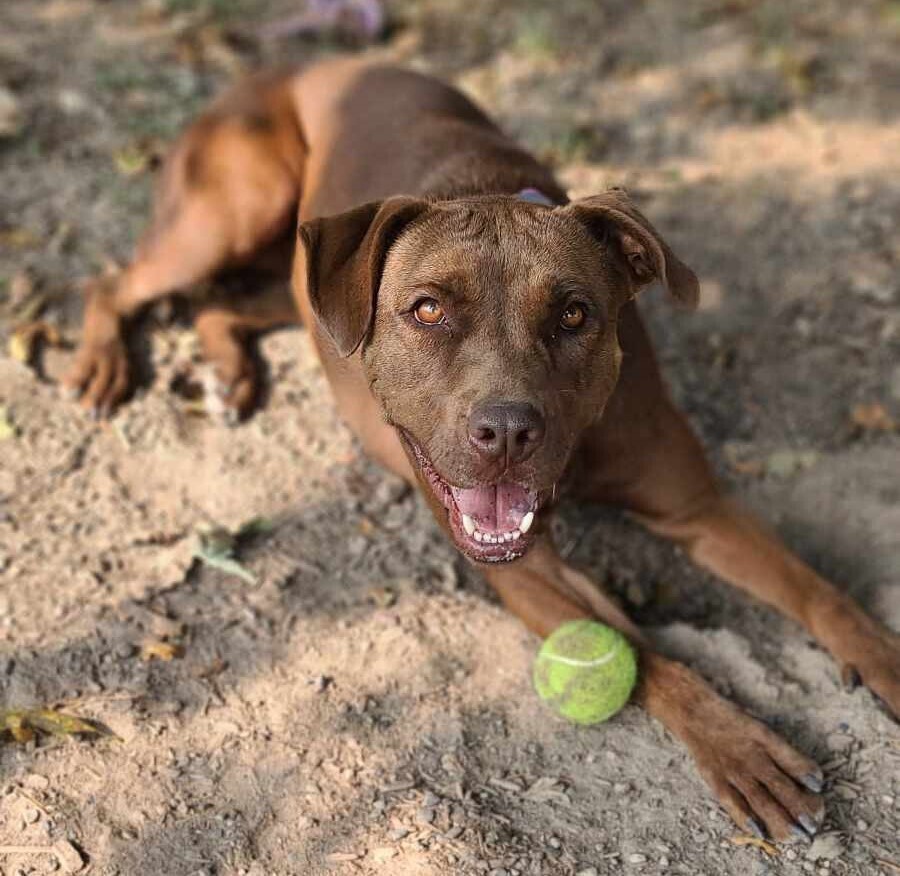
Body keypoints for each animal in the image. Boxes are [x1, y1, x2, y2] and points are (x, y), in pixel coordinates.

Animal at [59, 58, 896, 844]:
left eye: (574, 314)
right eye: (427, 310)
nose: (508, 432)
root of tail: (291, 68)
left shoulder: (699, 507)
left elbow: (819, 591)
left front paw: (882, 656)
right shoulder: (525, 570)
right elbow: (643, 651)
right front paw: (741, 748)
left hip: (295, 278)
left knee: (228, 304)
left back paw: (229, 369)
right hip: (229, 211)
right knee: (114, 281)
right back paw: (102, 363)